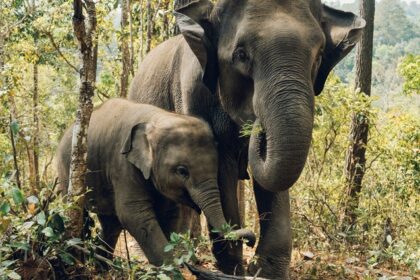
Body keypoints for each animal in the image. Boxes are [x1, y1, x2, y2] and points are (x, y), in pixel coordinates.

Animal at [54, 99, 254, 266]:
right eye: (182, 171)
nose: (251, 240)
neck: (157, 118)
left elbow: (171, 214)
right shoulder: (123, 165)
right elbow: (134, 214)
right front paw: (173, 268)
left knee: (111, 224)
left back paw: (101, 267)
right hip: (66, 170)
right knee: (79, 213)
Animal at [129, 0, 364, 278]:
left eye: (318, 57)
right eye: (241, 55)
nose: (256, 124)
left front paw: (265, 271)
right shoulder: (192, 94)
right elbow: (221, 169)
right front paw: (234, 268)